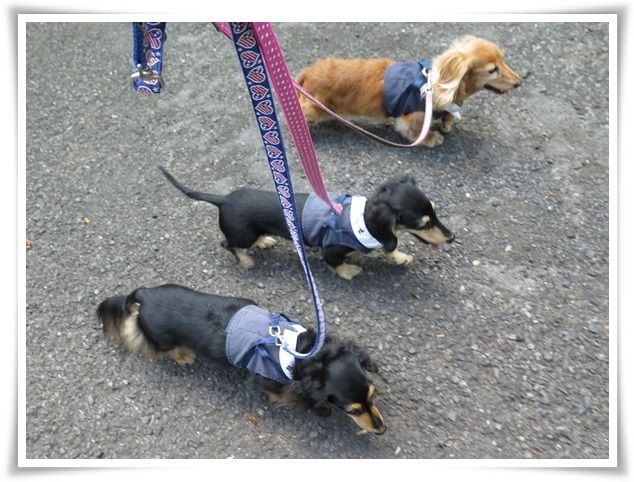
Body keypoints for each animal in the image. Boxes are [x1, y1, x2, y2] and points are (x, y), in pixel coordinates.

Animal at [98, 283, 386, 435]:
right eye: (353, 410)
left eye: (372, 396)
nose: (381, 430)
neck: (304, 352)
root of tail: (145, 293)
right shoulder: (269, 381)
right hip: (162, 339)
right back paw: (183, 355)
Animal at [160, 167, 454, 280]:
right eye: (422, 223)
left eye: (435, 212)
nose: (452, 237)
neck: (359, 220)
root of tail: (223, 199)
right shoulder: (331, 250)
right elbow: (338, 263)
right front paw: (349, 270)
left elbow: (388, 247)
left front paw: (400, 257)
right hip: (240, 234)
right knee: (228, 244)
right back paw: (246, 260)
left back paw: (264, 240)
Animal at [296, 35, 522, 147]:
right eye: (492, 70)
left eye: (503, 59)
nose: (519, 82)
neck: (433, 86)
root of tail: (307, 72)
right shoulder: (410, 118)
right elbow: (413, 131)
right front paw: (431, 138)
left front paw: (447, 121)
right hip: (316, 107)